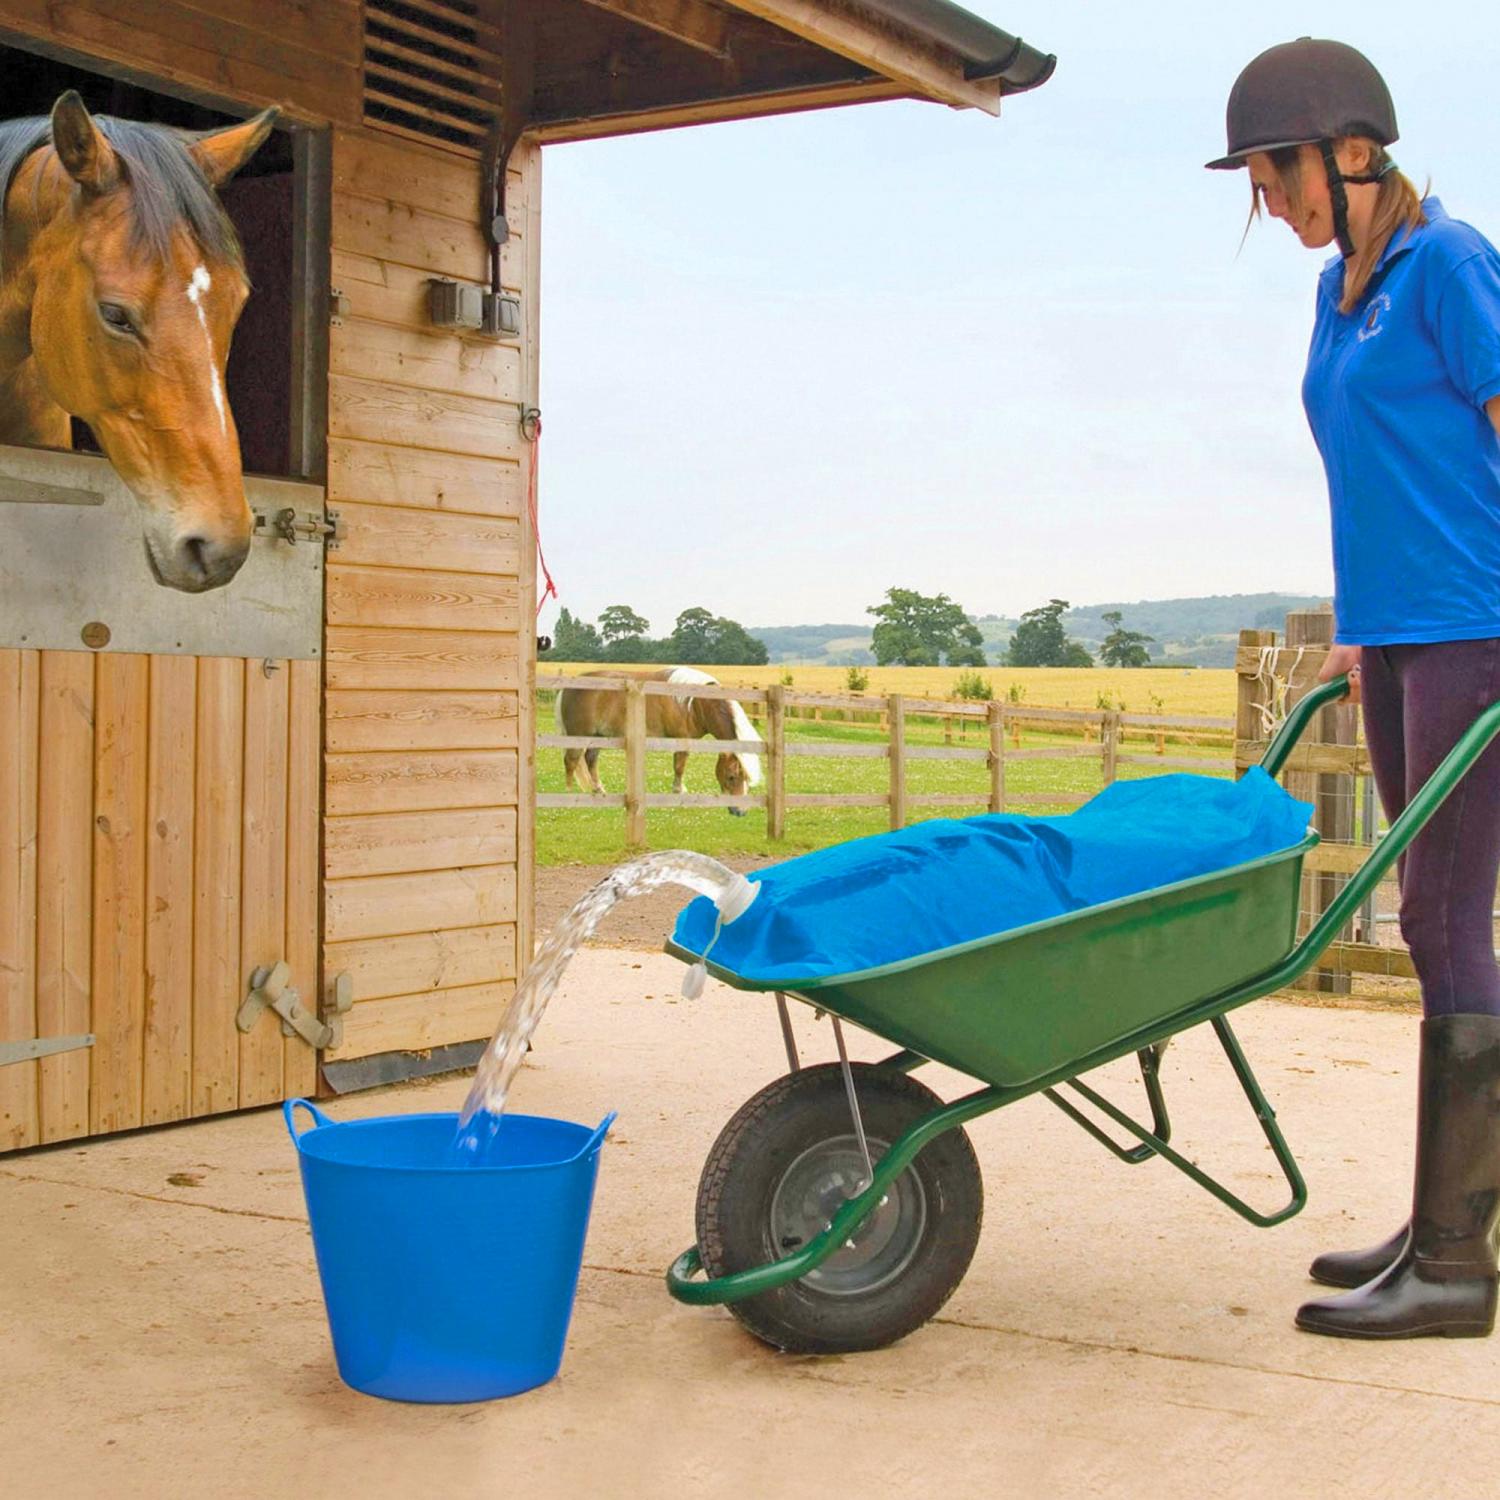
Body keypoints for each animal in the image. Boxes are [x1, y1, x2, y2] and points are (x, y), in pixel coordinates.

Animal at [558, 669, 762, 816]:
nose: (741, 812)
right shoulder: (681, 739)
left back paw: (598, 790)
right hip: (579, 736)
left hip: (598, 738)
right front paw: (679, 792)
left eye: (747, 778)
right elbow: (679, 766)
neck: (694, 704)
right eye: (731, 776)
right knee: (571, 761)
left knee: (590, 761)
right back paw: (568, 793)